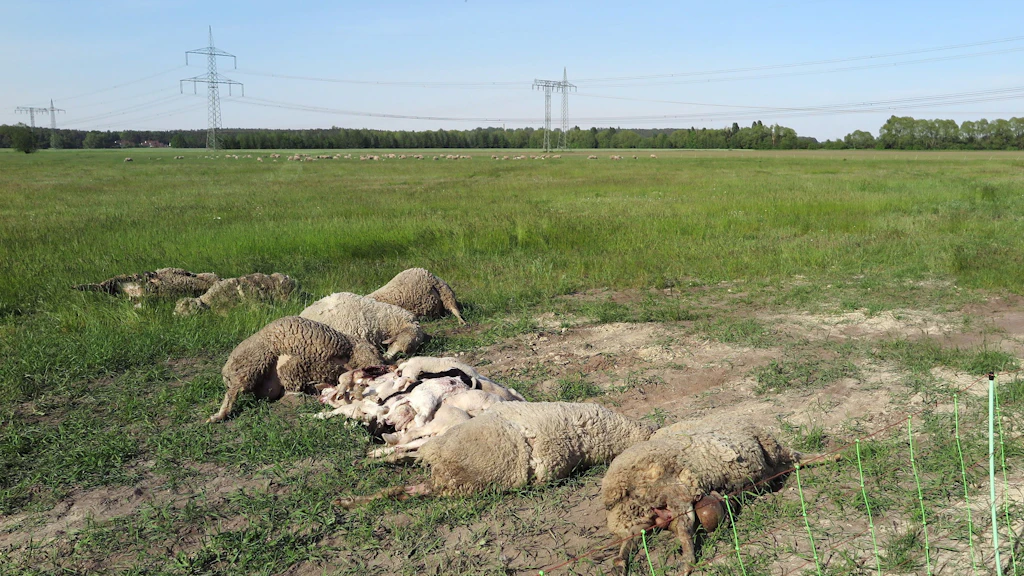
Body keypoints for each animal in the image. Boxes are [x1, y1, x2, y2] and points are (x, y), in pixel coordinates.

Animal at [336, 402, 655, 506]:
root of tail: (445, 479)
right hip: (445, 448)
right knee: (409, 465)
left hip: (447, 451)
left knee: (407, 477)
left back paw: (353, 495)